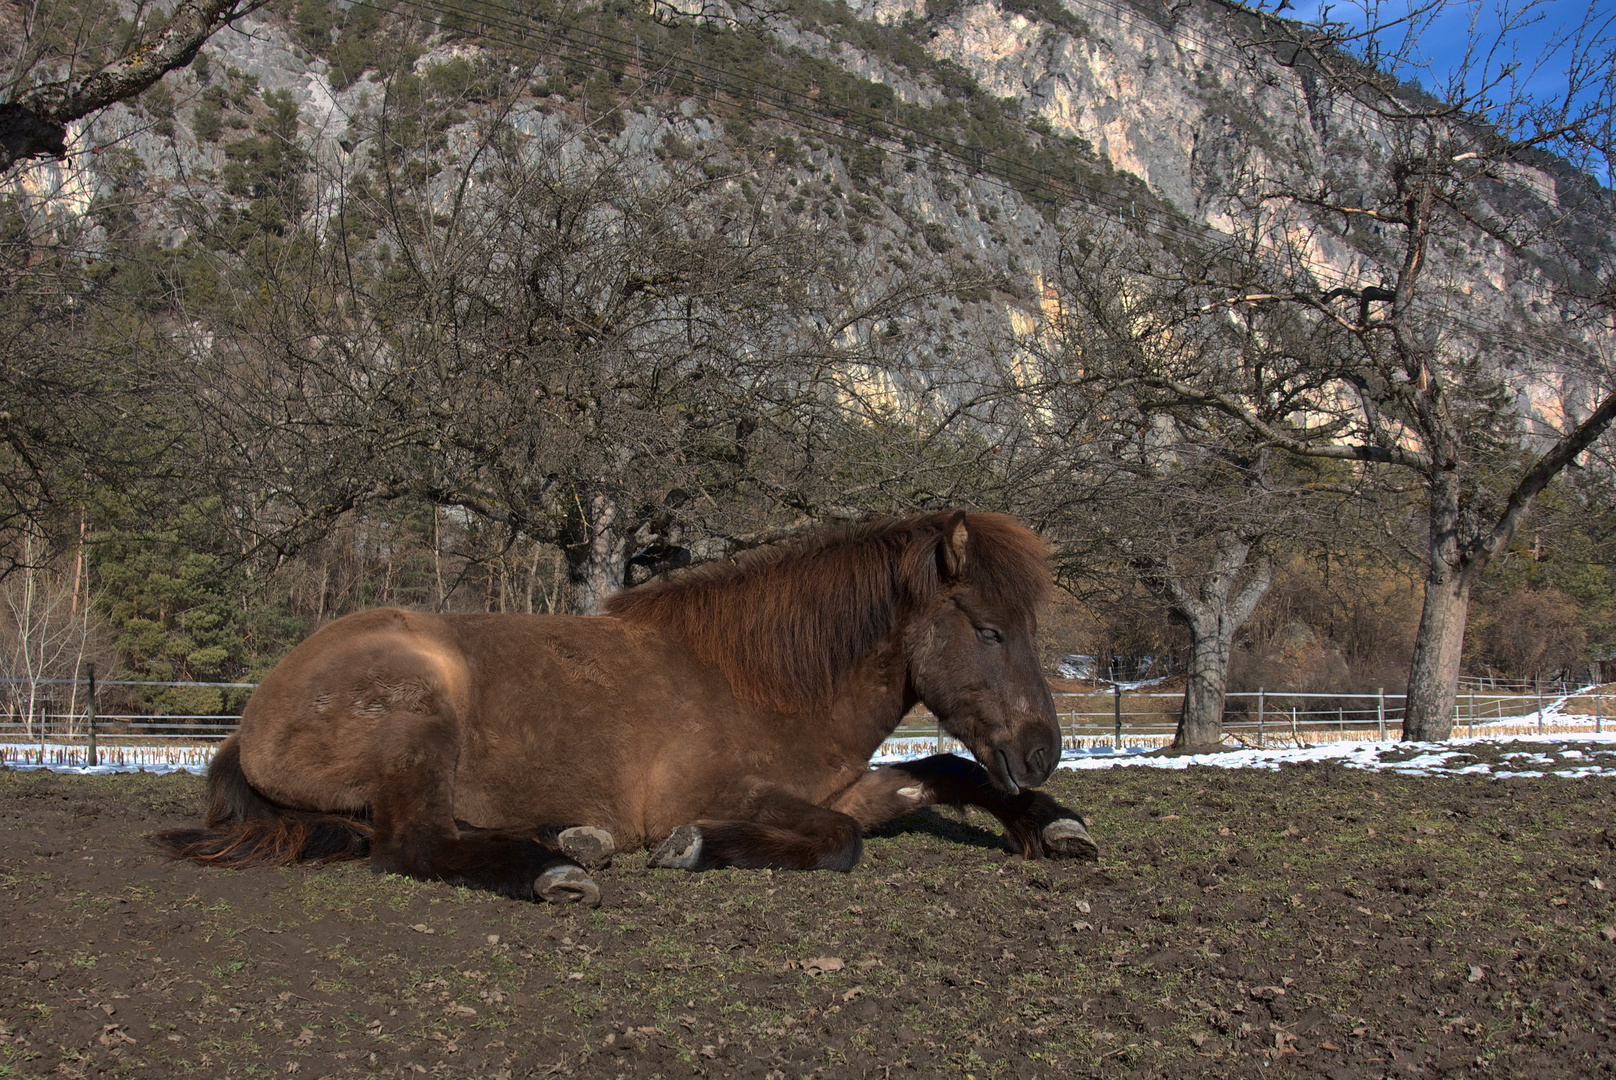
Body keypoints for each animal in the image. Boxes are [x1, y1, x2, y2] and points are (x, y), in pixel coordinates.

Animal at [154, 510, 1098, 898]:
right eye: (989, 628)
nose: (1043, 750)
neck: (759, 681)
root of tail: (255, 715)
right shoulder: (722, 792)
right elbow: (839, 841)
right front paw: (693, 848)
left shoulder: (850, 784)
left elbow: (936, 773)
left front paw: (1053, 823)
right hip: (419, 718)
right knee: (413, 843)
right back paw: (553, 870)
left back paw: (573, 837)